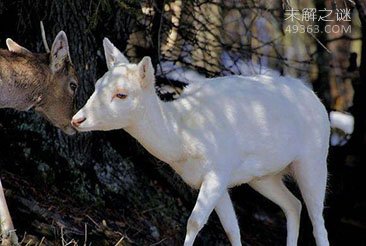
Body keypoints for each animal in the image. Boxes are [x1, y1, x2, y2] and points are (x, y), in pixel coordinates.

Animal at [71, 39, 328, 246]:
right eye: (97, 84)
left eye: (121, 94)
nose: (77, 119)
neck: (184, 138)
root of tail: (318, 101)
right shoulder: (219, 180)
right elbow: (232, 229)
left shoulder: (219, 169)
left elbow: (194, 222)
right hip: (263, 177)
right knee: (293, 205)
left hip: (314, 159)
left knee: (319, 224)